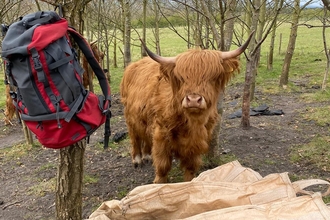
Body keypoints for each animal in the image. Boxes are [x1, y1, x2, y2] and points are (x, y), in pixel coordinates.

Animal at [121, 35, 253, 184]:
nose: (193, 100)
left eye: (212, 77)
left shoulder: (196, 142)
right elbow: (163, 166)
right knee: (135, 136)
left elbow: (190, 168)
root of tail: (135, 64)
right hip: (129, 116)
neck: (191, 122)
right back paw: (137, 159)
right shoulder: (161, 135)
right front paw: (158, 183)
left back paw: (147, 156)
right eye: (181, 78)